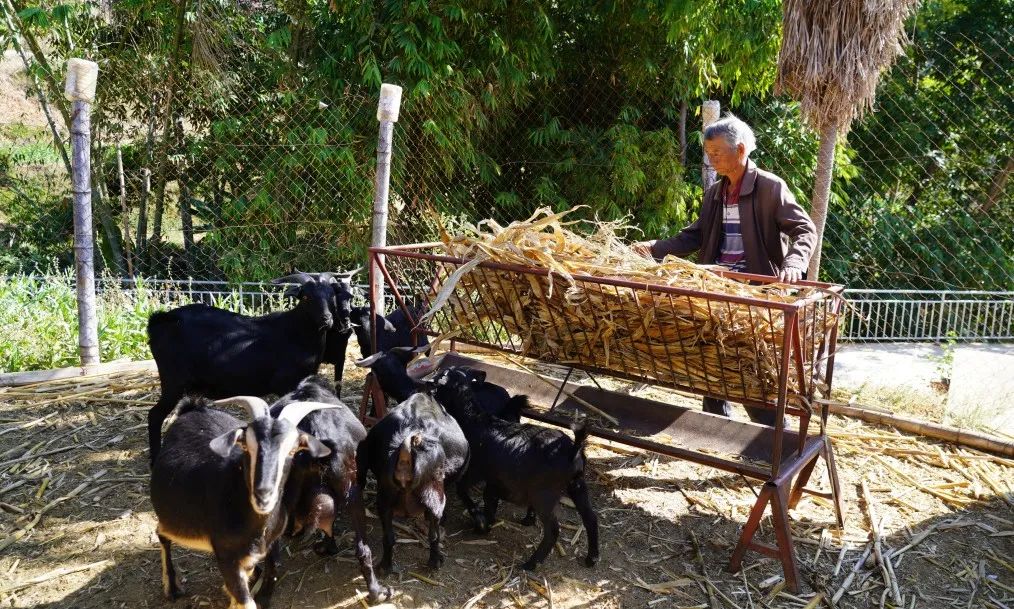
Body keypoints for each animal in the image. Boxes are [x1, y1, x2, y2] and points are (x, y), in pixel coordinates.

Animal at [147, 271, 352, 460]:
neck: (297, 332)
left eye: (331, 295)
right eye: (307, 297)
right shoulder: (285, 383)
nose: (327, 319)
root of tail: (161, 320)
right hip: (173, 381)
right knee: (154, 415)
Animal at [150, 395, 334, 607]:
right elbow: (245, 600)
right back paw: (172, 587)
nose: (263, 494)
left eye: (292, 451)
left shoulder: (268, 545)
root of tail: (191, 408)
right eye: (246, 446)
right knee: (161, 532)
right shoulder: (226, 554)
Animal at [354, 389, 468, 575]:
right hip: (435, 497)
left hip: (384, 498)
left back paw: (385, 567)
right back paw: (435, 562)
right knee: (434, 535)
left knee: (389, 537)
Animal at [429, 364, 600, 571]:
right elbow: (490, 498)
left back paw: (531, 563)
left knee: (553, 529)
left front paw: (479, 521)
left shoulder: (474, 471)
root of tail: (573, 450)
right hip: (577, 485)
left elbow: (463, 491)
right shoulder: (494, 479)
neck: (474, 420)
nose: (428, 387)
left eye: (439, 382)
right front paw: (487, 522)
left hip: (545, 493)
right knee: (591, 519)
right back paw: (591, 558)